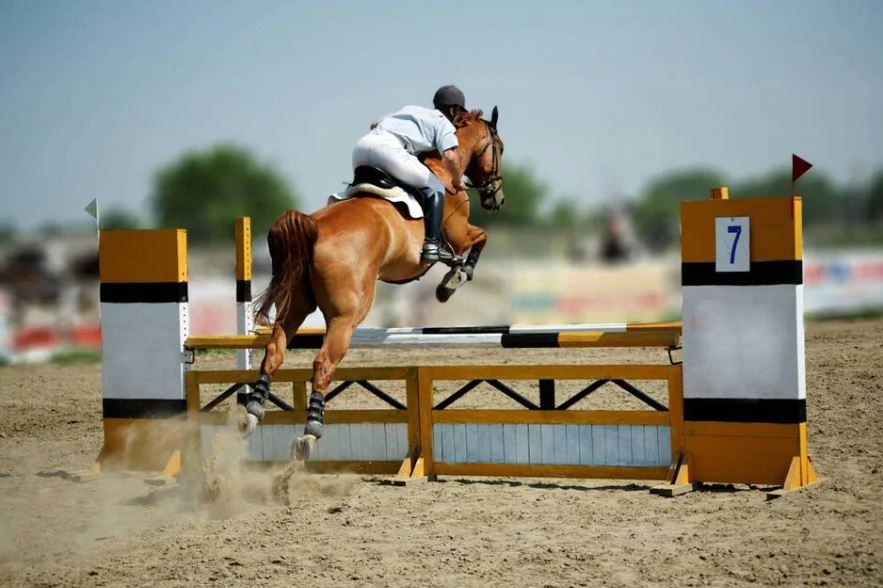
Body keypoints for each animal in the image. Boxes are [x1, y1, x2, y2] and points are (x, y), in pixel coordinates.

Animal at [245, 108, 504, 458]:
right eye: (499, 148)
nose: (497, 198)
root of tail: (313, 225)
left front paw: (452, 278)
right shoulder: (459, 232)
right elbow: (479, 239)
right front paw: (452, 281)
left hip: (296, 304)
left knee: (274, 350)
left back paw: (252, 413)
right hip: (347, 315)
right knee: (323, 363)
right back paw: (310, 432)